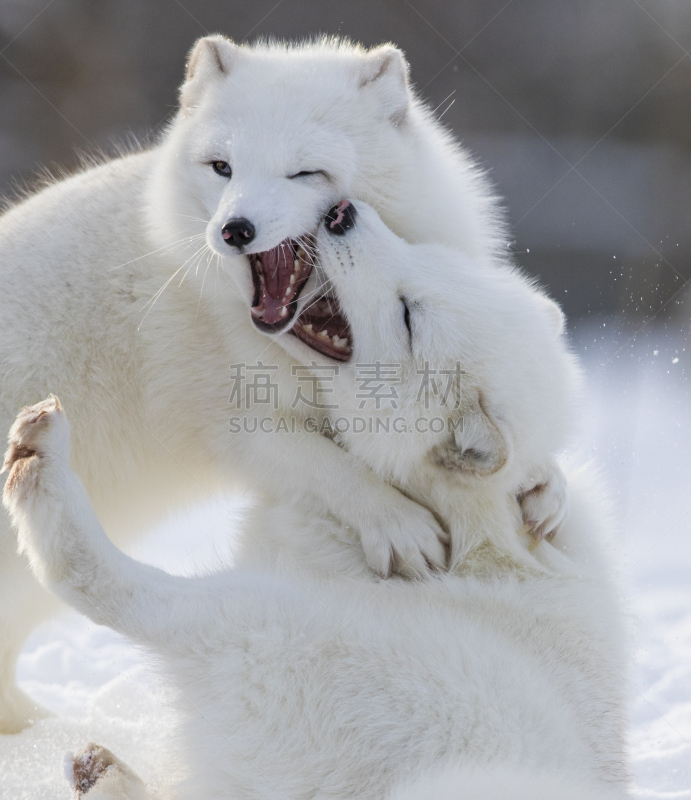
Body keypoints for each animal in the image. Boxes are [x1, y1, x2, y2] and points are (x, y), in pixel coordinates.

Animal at [0, 34, 560, 732]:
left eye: (304, 174)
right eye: (222, 167)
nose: (233, 229)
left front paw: (548, 485)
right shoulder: (232, 425)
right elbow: (327, 467)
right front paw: (398, 526)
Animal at [1, 206, 628, 800]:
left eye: (409, 316)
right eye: (426, 254)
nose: (342, 213)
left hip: (269, 615)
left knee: (95, 580)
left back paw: (41, 459)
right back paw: (102, 774)